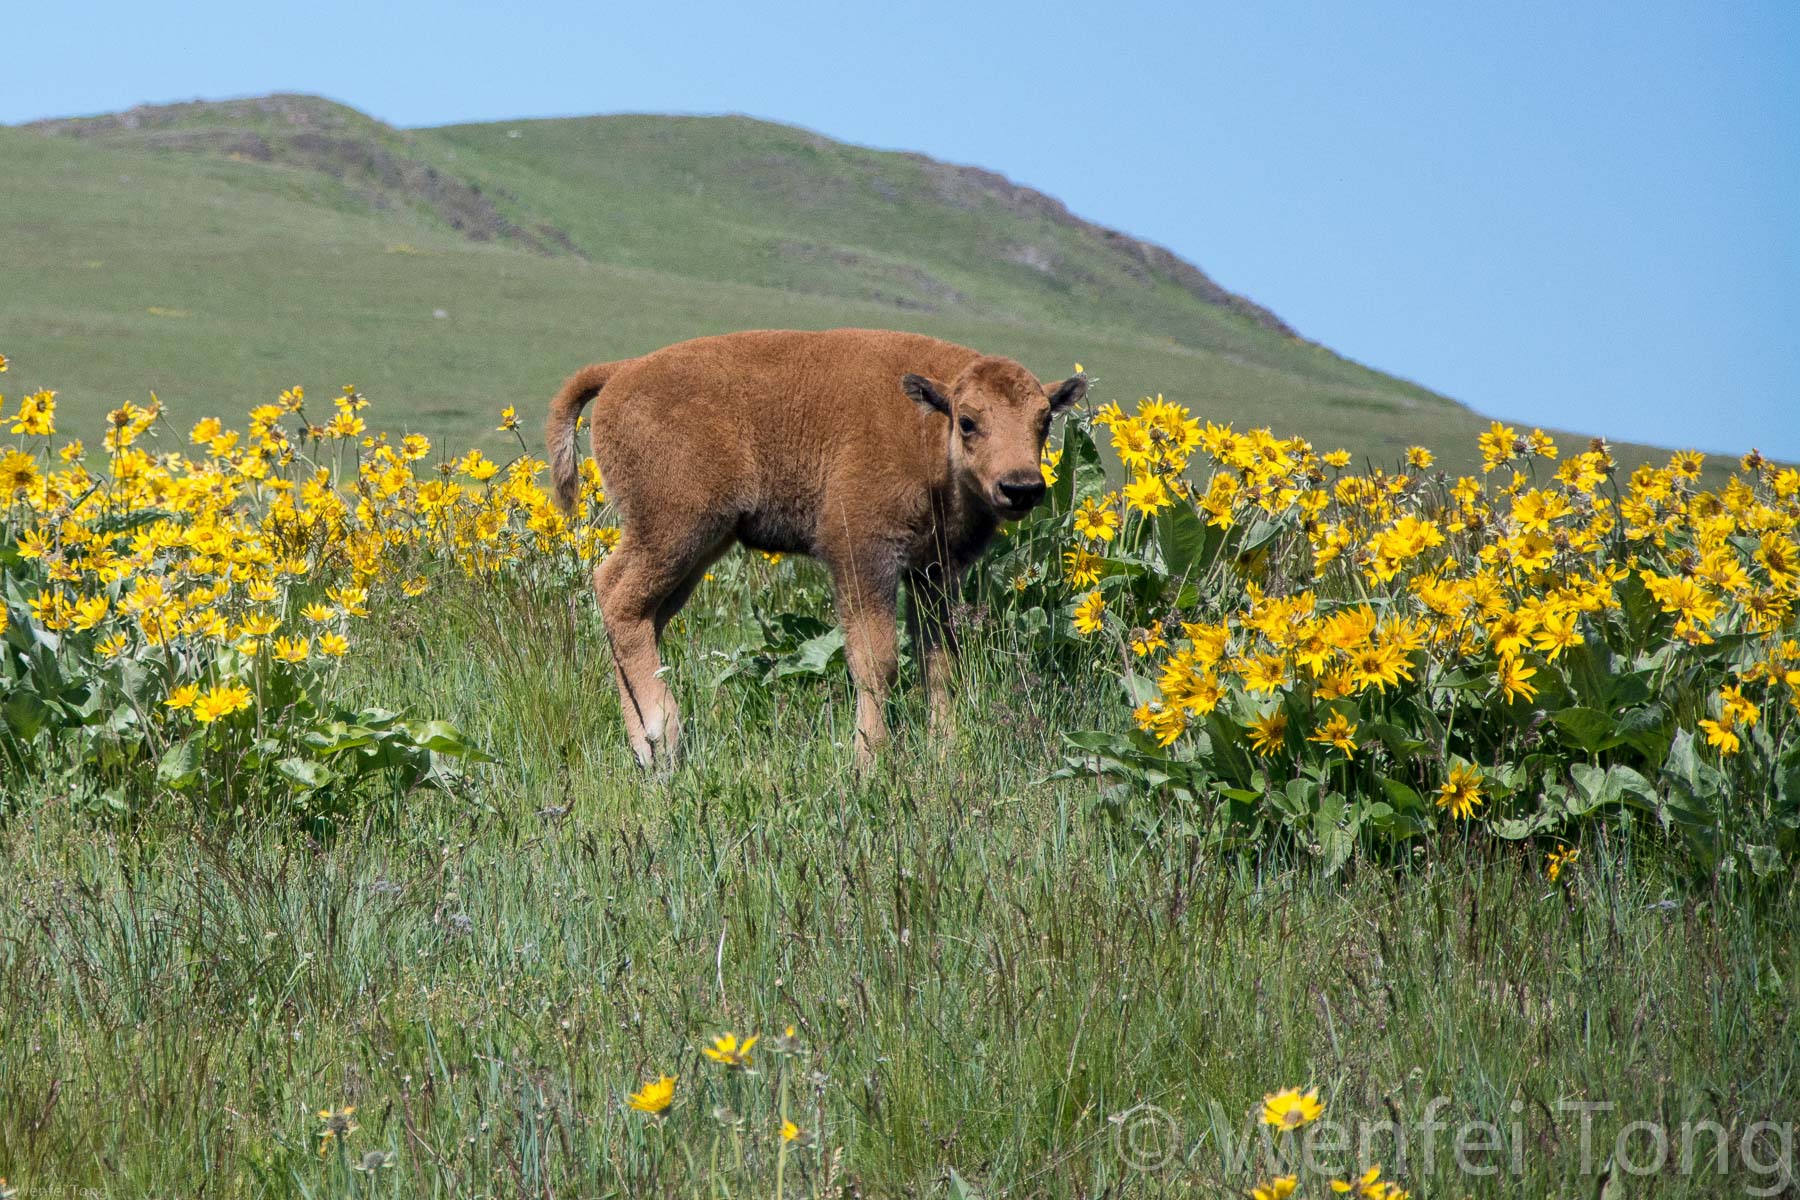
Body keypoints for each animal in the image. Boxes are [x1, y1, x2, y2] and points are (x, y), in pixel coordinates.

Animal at [543, 329, 1080, 770]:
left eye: (1044, 421)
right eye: (967, 422)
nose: (1021, 487)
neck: (927, 423)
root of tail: (622, 371)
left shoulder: (932, 572)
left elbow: (939, 660)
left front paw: (945, 750)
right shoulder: (863, 558)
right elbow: (876, 661)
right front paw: (871, 760)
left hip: (697, 548)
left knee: (633, 610)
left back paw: (646, 750)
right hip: (674, 531)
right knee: (622, 601)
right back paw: (664, 736)